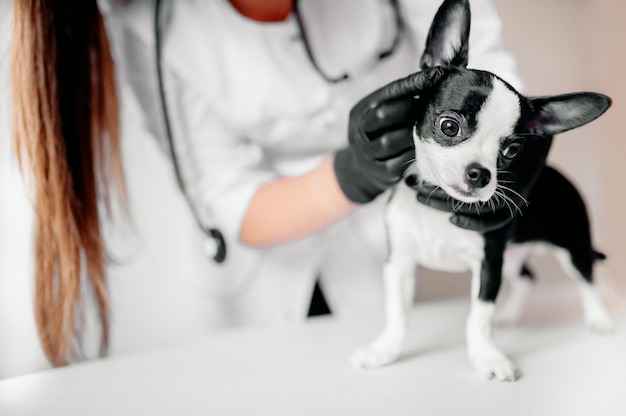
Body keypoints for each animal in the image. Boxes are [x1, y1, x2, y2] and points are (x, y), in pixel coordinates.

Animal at [348, 0, 612, 380]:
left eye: (512, 151)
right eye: (449, 126)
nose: (480, 174)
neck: (439, 205)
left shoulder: (488, 266)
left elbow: (478, 317)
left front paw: (487, 357)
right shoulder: (399, 263)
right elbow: (397, 314)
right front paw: (383, 351)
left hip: (572, 244)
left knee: (587, 278)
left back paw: (599, 319)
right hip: (514, 255)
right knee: (528, 277)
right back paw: (511, 314)